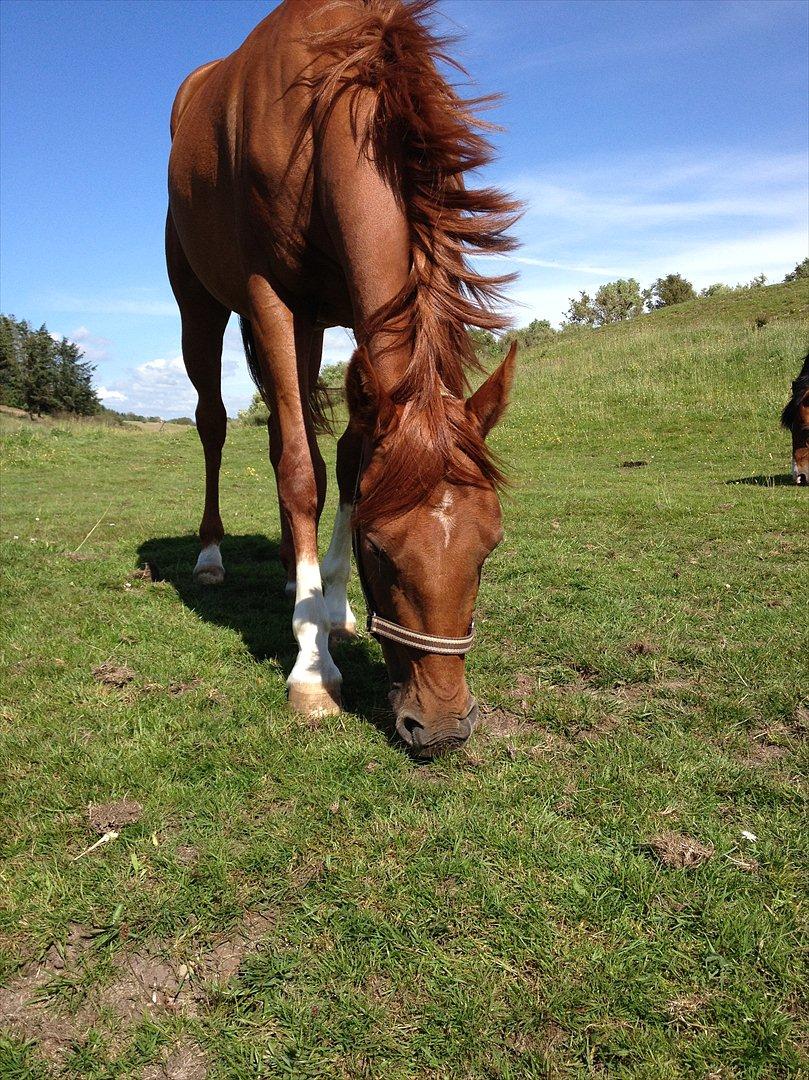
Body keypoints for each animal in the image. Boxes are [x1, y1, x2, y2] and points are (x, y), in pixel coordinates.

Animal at [165, 0, 518, 760]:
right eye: (381, 553)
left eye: (489, 547)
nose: (441, 726)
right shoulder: (271, 297)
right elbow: (304, 473)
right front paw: (312, 669)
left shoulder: (353, 313)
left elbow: (350, 464)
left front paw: (329, 605)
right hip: (201, 307)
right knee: (214, 423)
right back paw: (211, 556)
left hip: (312, 325)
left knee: (286, 436)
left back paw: (302, 590)